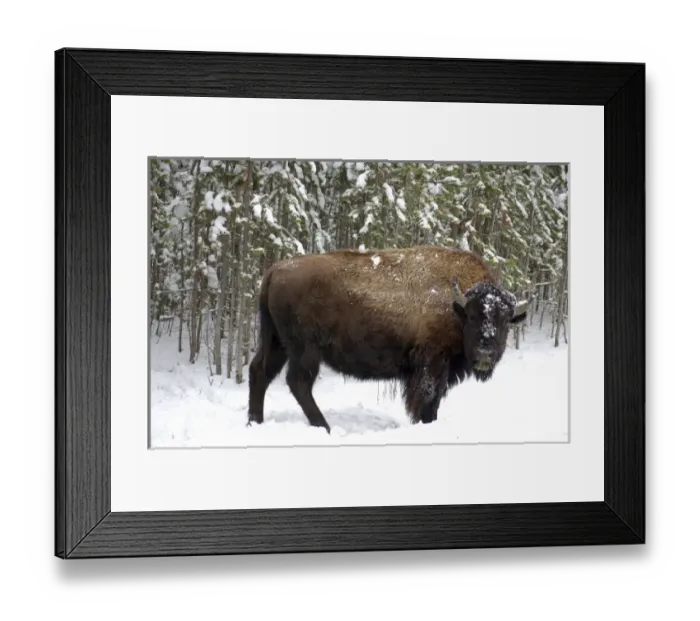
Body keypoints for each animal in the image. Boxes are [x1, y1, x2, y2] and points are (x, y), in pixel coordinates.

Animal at [247, 246, 529, 432]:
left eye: (505, 320)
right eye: (471, 316)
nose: (484, 353)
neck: (454, 305)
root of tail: (274, 271)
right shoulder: (431, 365)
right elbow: (427, 400)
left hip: (276, 343)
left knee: (260, 371)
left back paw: (255, 422)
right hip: (305, 350)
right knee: (298, 382)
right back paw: (323, 427)